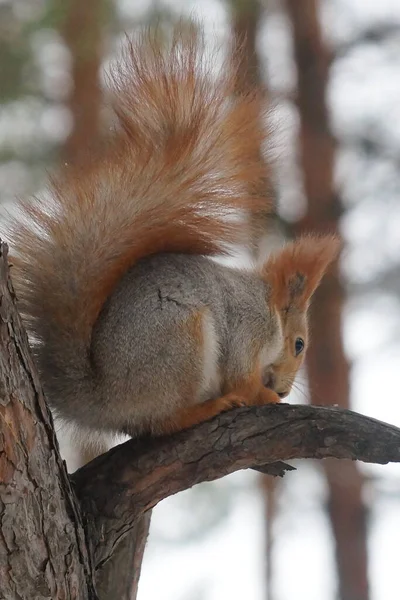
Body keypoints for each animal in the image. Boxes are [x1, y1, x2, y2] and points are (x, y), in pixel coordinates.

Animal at [4, 24, 340, 440]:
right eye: (298, 345)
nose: (283, 388)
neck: (267, 306)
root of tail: (103, 400)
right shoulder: (248, 330)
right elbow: (241, 378)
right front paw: (263, 396)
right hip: (180, 340)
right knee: (164, 419)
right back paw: (208, 408)